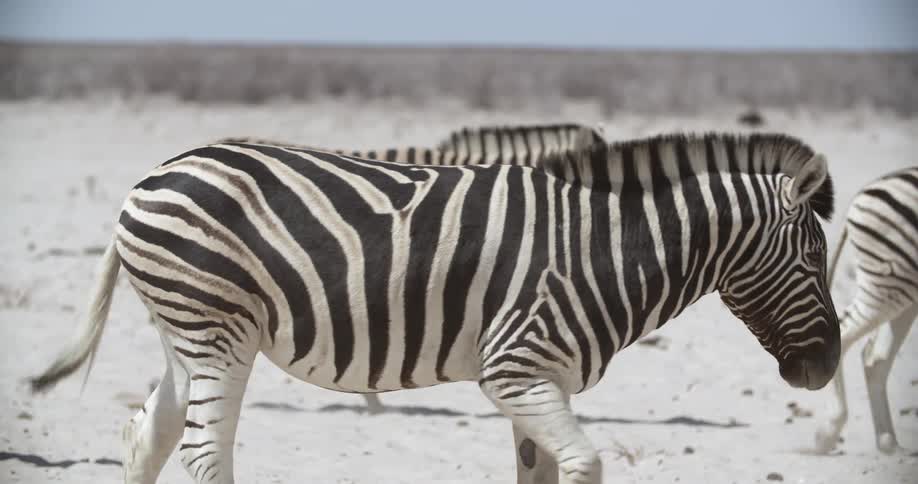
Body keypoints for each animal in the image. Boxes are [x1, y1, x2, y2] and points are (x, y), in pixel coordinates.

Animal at [30, 132, 840, 484]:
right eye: (812, 258)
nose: (826, 367)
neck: (604, 246)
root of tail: (152, 174)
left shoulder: (538, 382)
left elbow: (540, 474)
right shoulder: (517, 369)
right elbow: (584, 464)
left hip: (188, 332)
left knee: (148, 435)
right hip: (218, 328)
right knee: (202, 453)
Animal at [813, 166, 918, 455]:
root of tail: (863, 193)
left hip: (901, 290)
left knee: (875, 358)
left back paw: (887, 441)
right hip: (890, 280)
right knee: (848, 337)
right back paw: (829, 431)